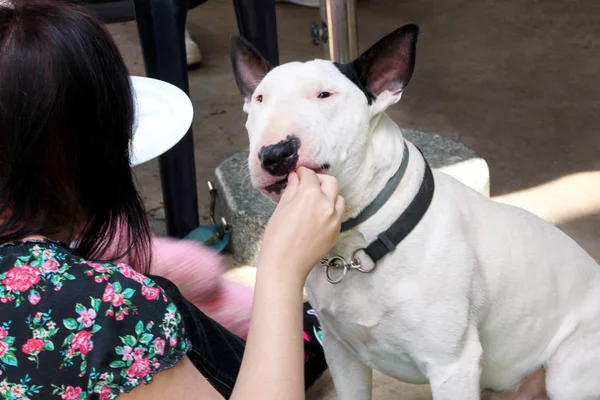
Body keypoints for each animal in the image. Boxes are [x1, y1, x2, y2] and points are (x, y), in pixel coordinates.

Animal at [230, 25, 600, 400]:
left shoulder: (453, 368)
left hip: (567, 373)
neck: (361, 244)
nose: (275, 154)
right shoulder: (340, 352)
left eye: (325, 94)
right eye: (260, 99)